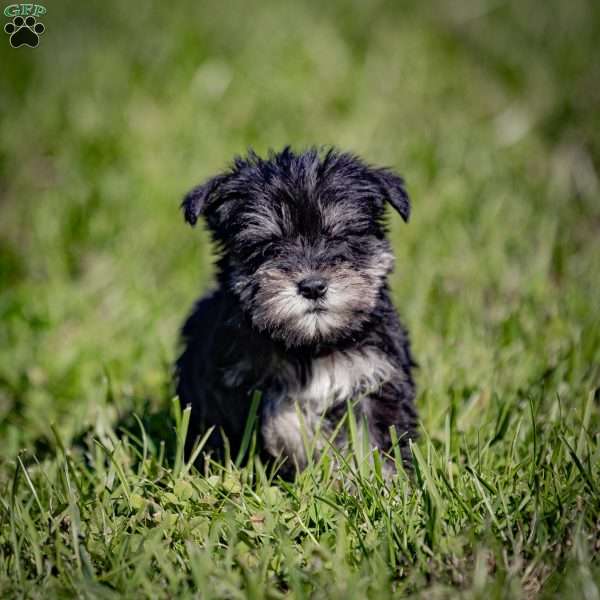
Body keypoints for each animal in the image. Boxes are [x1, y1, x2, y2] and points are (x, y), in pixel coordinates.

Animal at [173, 148, 418, 476]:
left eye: (340, 238)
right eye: (268, 245)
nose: (313, 286)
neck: (311, 344)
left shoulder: (374, 379)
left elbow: (374, 441)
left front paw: (382, 483)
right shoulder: (238, 388)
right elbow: (285, 417)